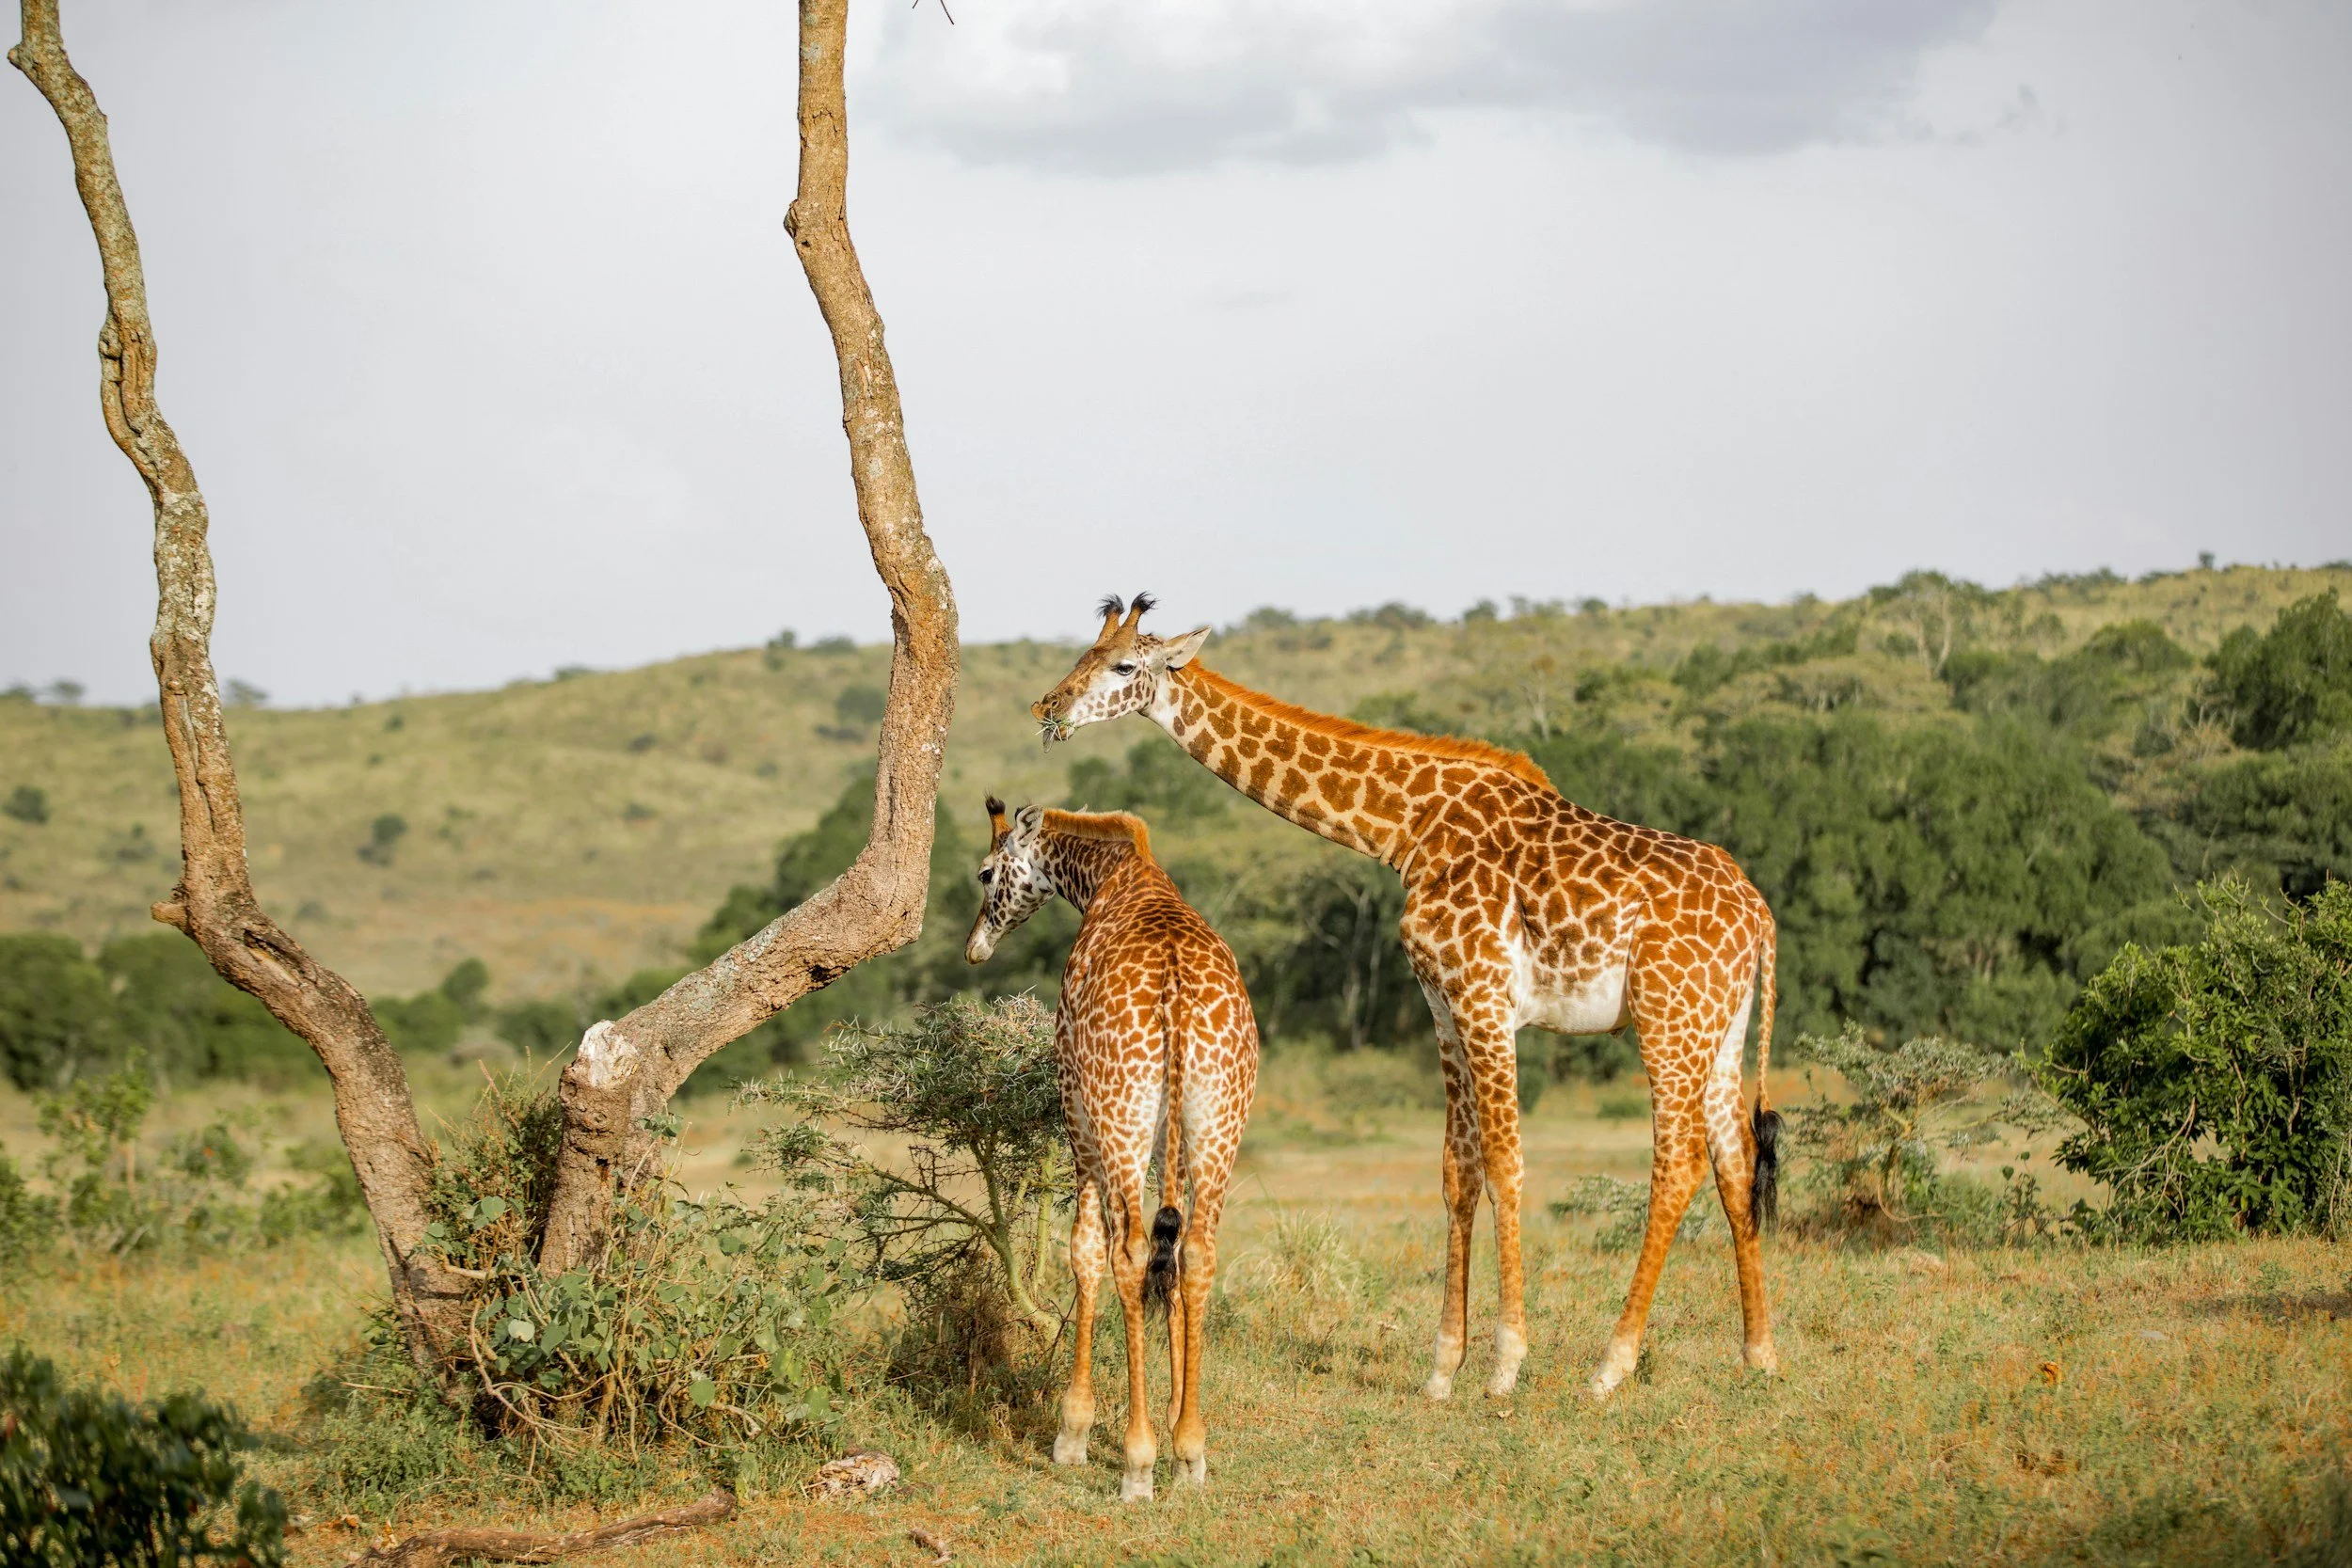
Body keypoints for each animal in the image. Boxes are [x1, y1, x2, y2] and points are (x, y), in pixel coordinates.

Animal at [965, 796, 1260, 1500]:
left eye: (986, 873)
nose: (974, 948)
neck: (1108, 877)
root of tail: (1177, 998)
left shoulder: (1074, 1106)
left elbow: (1084, 1249)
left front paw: (1072, 1432)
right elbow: (1169, 1258)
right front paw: (1181, 1432)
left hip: (1116, 1114)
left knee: (1125, 1252)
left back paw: (1136, 1460)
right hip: (1218, 1119)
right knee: (1196, 1252)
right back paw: (1190, 1448)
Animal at [1031, 596, 1781, 1401]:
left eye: (1123, 665)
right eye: (1081, 655)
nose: (1048, 707)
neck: (1406, 827)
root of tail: (1760, 913)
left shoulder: (1485, 994)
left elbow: (1508, 1163)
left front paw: (1506, 1360)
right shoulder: (1442, 1002)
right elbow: (1459, 1170)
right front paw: (1443, 1364)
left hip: (1666, 1019)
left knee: (1678, 1164)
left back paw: (1612, 1362)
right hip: (1720, 1027)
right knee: (1734, 1160)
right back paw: (1758, 1350)